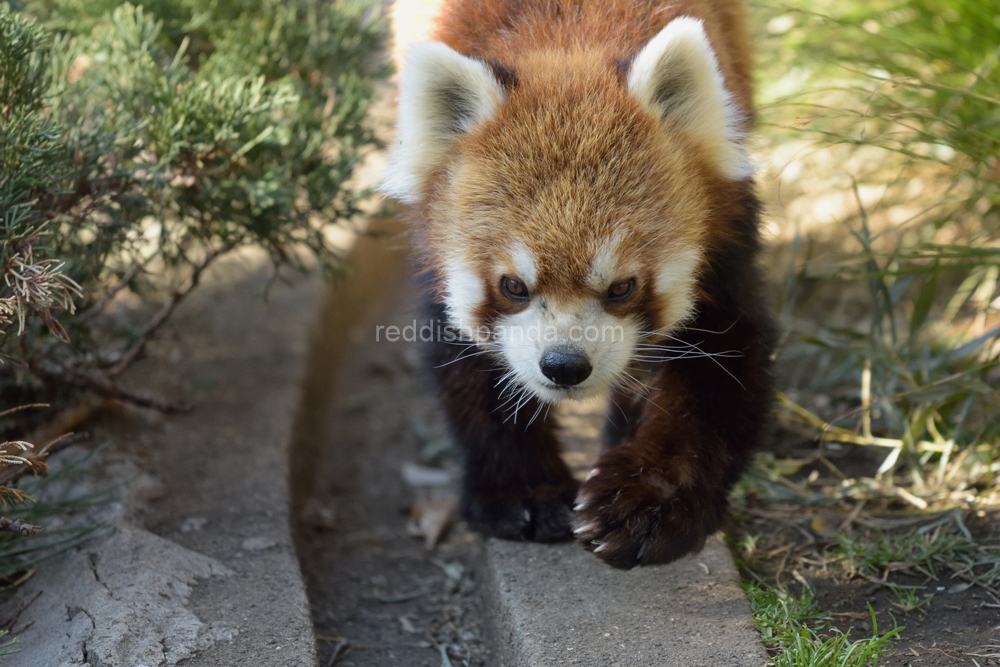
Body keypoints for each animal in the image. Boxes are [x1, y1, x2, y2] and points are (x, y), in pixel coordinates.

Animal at [380, 0, 772, 568]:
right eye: (514, 286)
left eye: (622, 287)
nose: (564, 365)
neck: (568, 40)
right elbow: (466, 364)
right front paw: (524, 491)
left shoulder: (726, 239)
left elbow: (718, 371)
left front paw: (646, 501)